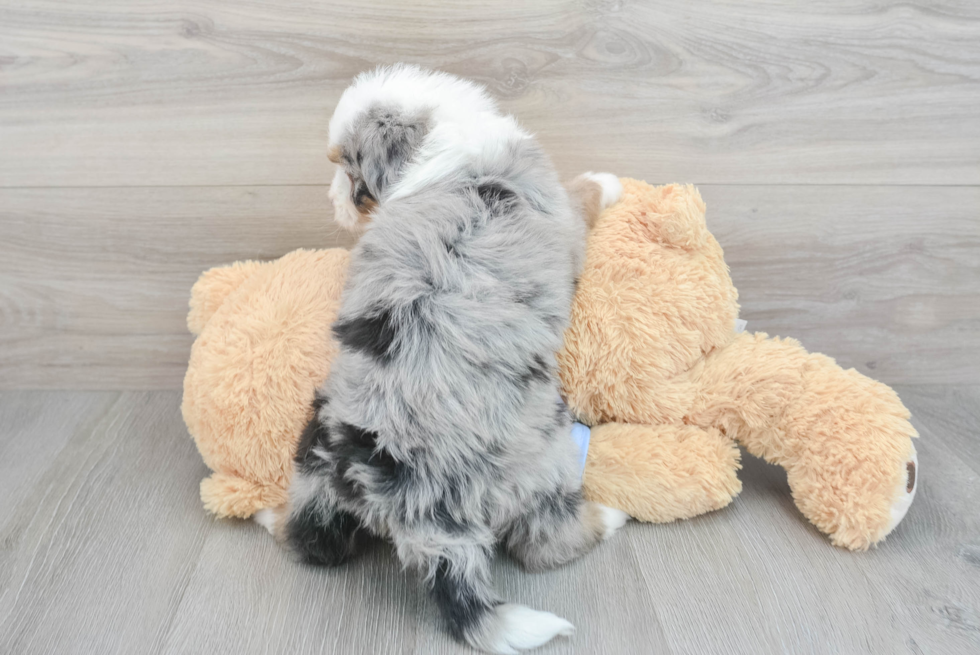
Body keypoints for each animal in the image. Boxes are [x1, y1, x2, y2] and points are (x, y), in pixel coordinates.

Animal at [258, 68, 628, 655]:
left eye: (349, 171)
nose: (332, 199)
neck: (443, 128)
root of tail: (415, 495)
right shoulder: (565, 217)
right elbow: (581, 193)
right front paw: (608, 180)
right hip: (544, 464)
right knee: (547, 543)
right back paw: (609, 518)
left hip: (315, 451)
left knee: (313, 540)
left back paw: (266, 515)